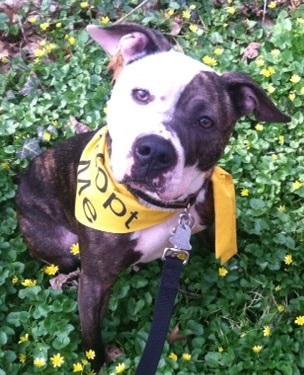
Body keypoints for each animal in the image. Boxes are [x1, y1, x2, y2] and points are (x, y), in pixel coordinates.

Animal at [16, 22, 290, 370]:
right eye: (141, 94)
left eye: (205, 121)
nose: (155, 151)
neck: (153, 205)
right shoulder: (94, 282)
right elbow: (92, 339)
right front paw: (99, 365)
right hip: (62, 248)